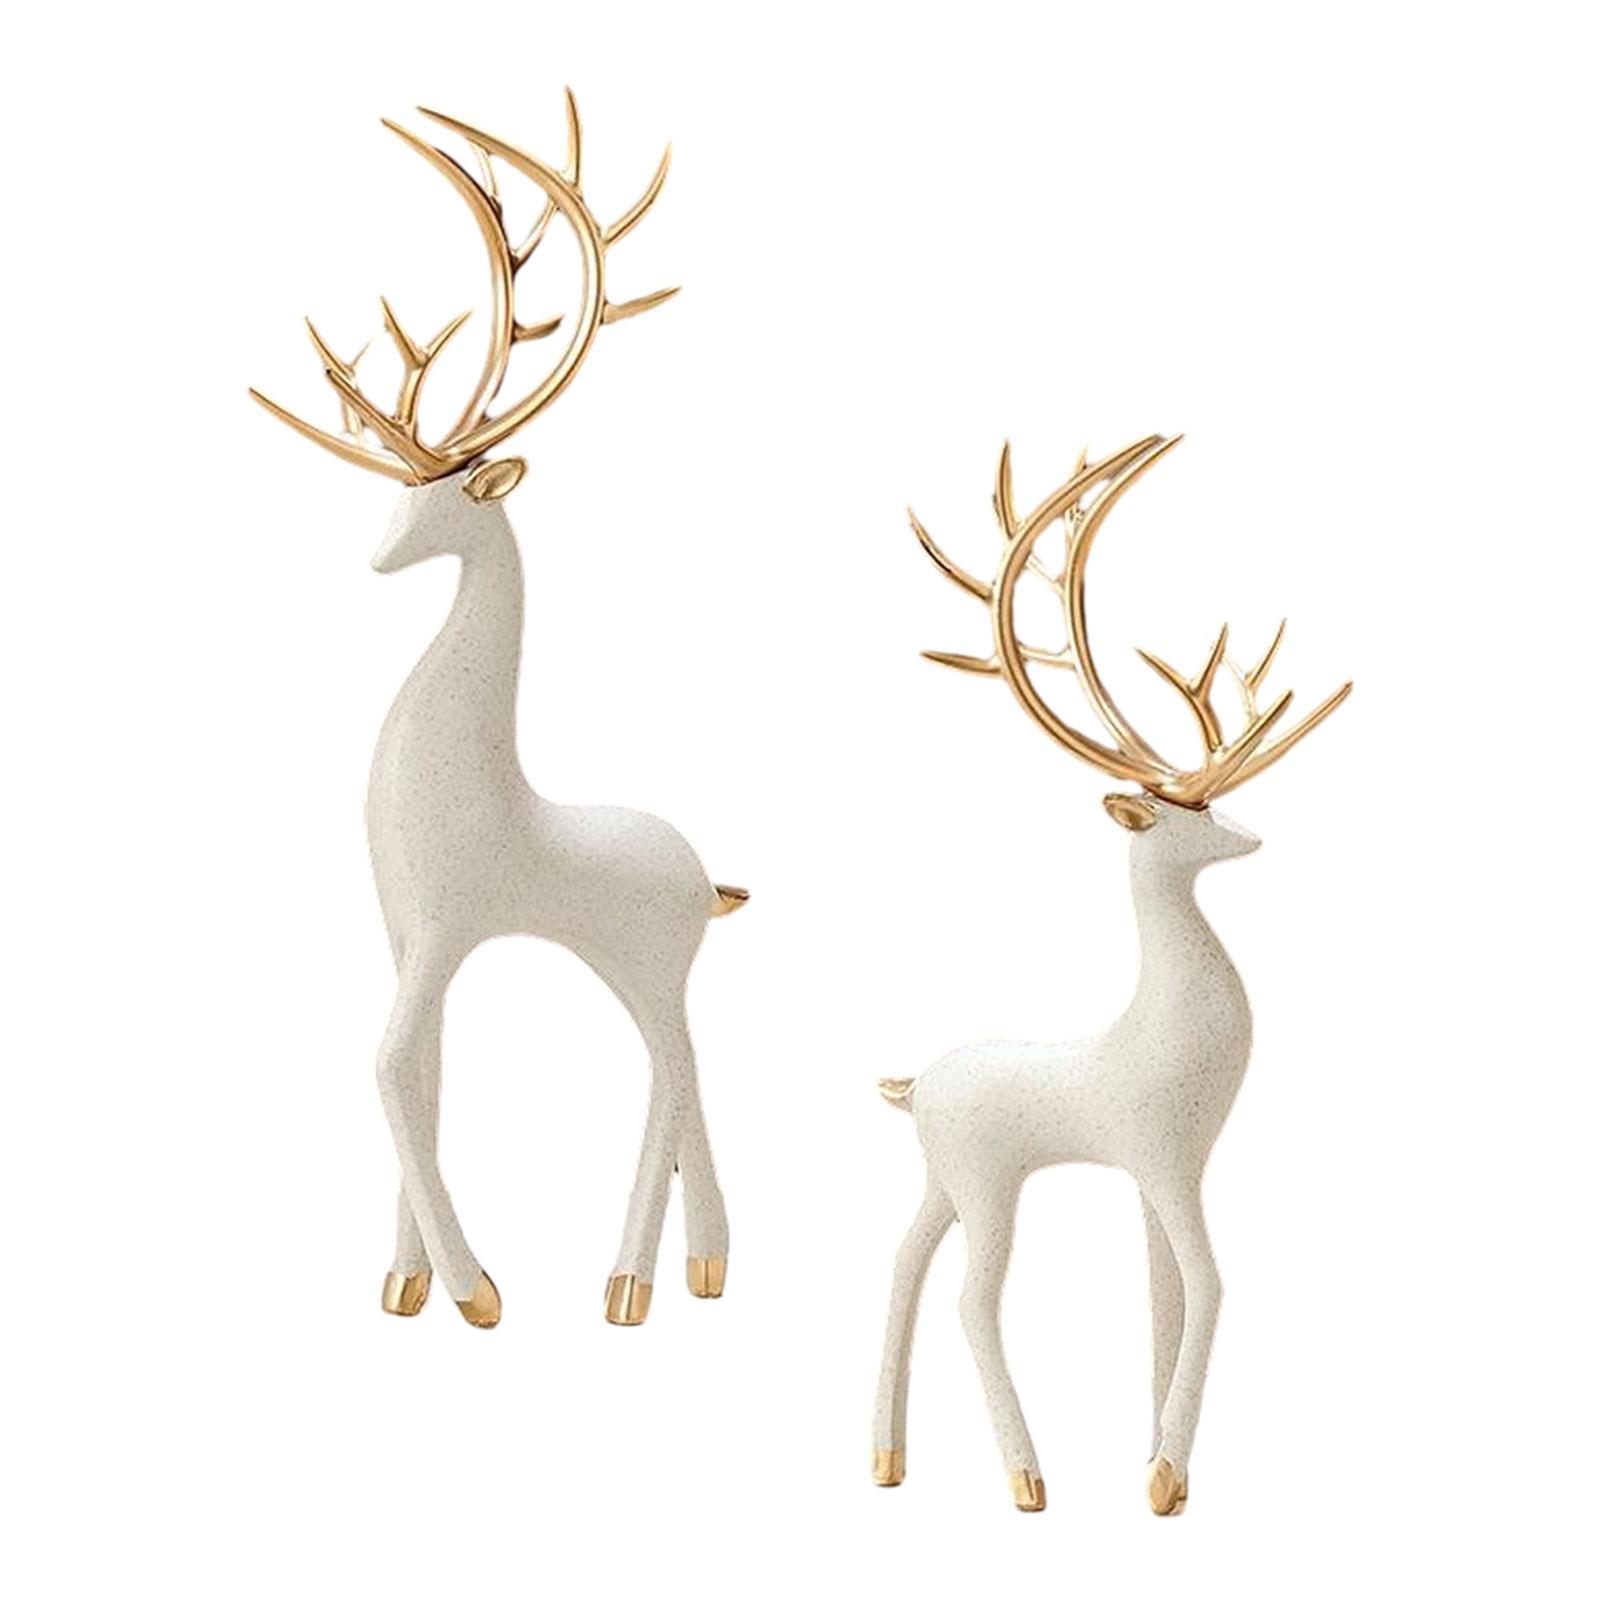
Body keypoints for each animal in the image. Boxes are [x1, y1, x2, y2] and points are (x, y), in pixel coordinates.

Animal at [249, 99, 745, 1332]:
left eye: (443, 496)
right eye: (396, 492)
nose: (376, 558)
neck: (463, 771)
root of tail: (705, 875)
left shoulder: (444, 924)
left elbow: (387, 1067)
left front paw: (478, 1292)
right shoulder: (399, 930)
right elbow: (422, 1072)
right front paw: (404, 1284)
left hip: (651, 960)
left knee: (671, 1069)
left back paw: (628, 1285)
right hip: (635, 964)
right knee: (685, 1069)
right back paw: (701, 1271)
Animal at [872, 435, 1350, 1515]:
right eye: (1182, 813)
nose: (1250, 833)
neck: (1163, 1024)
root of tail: (912, 1084)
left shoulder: (1166, 1169)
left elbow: (1164, 1297)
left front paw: (1160, 1467)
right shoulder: (1163, 1153)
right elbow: (1210, 1283)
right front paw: (1164, 1472)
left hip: (939, 1173)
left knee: (901, 1262)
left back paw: (886, 1460)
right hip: (988, 1177)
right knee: (972, 1296)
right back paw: (1025, 1476)